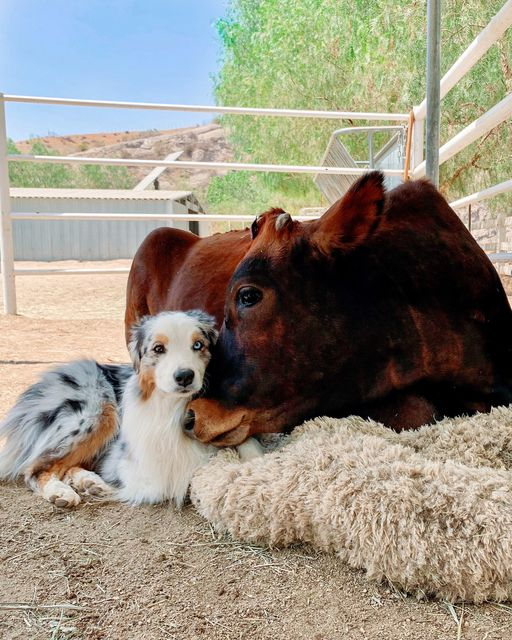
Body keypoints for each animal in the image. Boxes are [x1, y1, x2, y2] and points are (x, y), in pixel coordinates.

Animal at [0, 312, 262, 510]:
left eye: (198, 345)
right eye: (158, 349)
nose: (184, 376)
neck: (173, 406)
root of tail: (42, 385)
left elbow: (244, 441)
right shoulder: (135, 464)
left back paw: (89, 482)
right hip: (96, 413)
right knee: (35, 467)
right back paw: (61, 492)